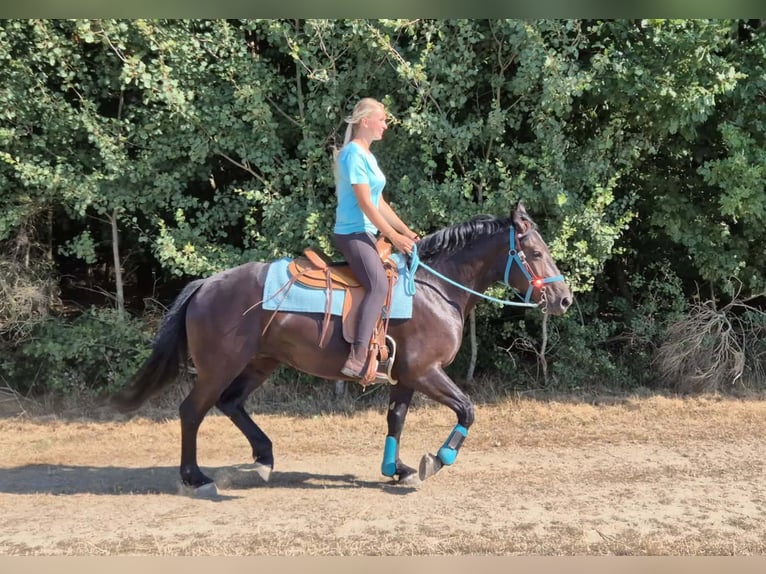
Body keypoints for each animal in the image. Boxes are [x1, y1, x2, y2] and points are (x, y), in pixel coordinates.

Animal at [112, 201, 573, 497]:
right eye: (535, 252)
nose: (564, 298)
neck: (435, 288)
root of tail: (206, 283)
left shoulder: (406, 375)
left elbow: (396, 419)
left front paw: (397, 469)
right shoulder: (426, 371)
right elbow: (467, 410)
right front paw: (436, 459)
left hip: (260, 363)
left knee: (231, 404)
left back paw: (263, 458)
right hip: (219, 366)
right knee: (193, 411)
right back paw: (196, 477)